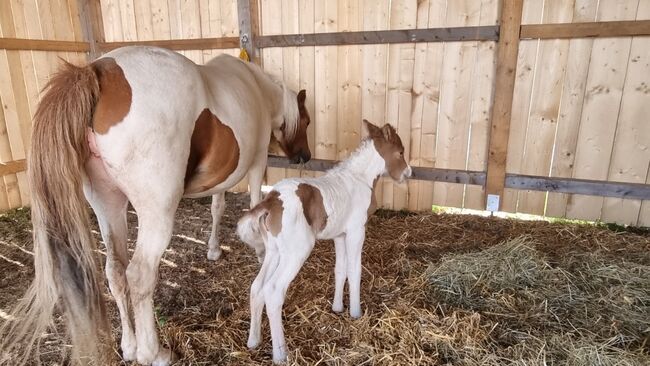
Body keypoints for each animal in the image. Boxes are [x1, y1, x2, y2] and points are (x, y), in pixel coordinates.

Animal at [0, 45, 308, 366]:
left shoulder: (223, 177)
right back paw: (153, 352)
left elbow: (217, 207)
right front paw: (260, 251)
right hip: (156, 213)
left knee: (116, 272)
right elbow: (254, 204)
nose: (305, 156)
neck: (257, 87)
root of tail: (97, 72)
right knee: (139, 275)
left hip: (108, 205)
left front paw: (213, 249)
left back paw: (129, 346)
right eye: (307, 120)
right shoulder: (257, 162)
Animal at [237, 120, 410, 364]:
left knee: (257, 287)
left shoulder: (340, 235)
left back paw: (253, 341)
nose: (408, 173)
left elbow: (340, 269)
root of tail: (271, 200)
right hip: (297, 251)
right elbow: (355, 270)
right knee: (273, 291)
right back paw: (281, 354)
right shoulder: (356, 231)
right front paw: (356, 313)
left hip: (274, 251)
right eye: (401, 152)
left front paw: (337, 308)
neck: (360, 178)